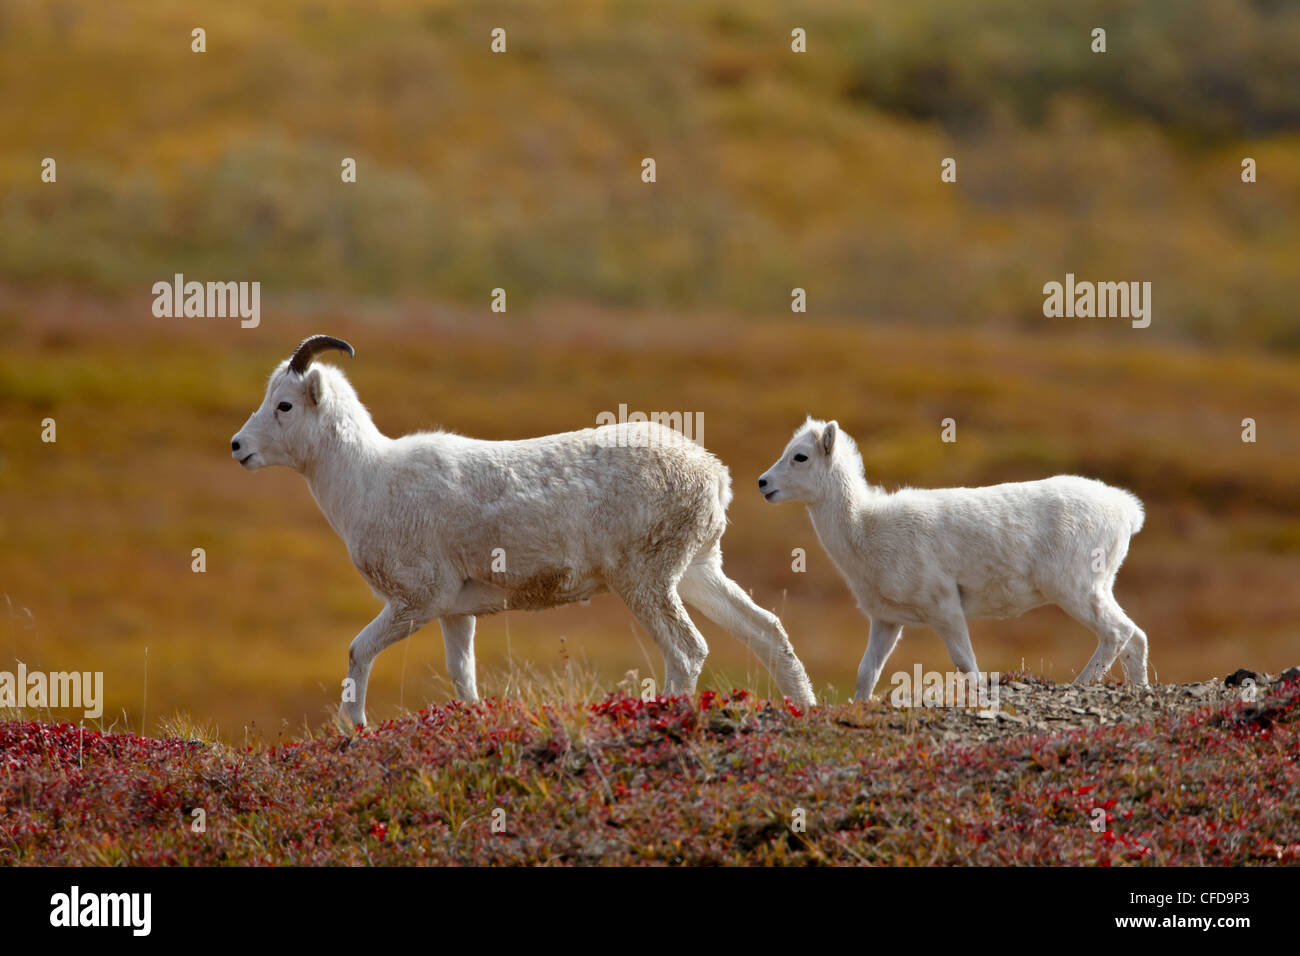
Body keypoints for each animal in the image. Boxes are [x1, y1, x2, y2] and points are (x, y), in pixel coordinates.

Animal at [230, 335, 817, 726]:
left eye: (284, 405)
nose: (238, 447)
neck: (370, 479)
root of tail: (713, 474)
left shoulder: (416, 602)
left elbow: (357, 652)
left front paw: (355, 730)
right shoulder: (455, 614)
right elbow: (462, 676)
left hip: (646, 583)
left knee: (687, 649)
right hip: (697, 573)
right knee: (767, 631)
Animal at [758, 417, 1149, 701]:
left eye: (800, 457)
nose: (763, 483)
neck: (865, 528)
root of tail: (1128, 510)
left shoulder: (945, 607)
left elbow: (967, 665)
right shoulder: (885, 621)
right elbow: (866, 673)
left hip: (1076, 590)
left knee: (1117, 633)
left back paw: (1080, 684)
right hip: (1099, 588)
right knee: (1136, 637)